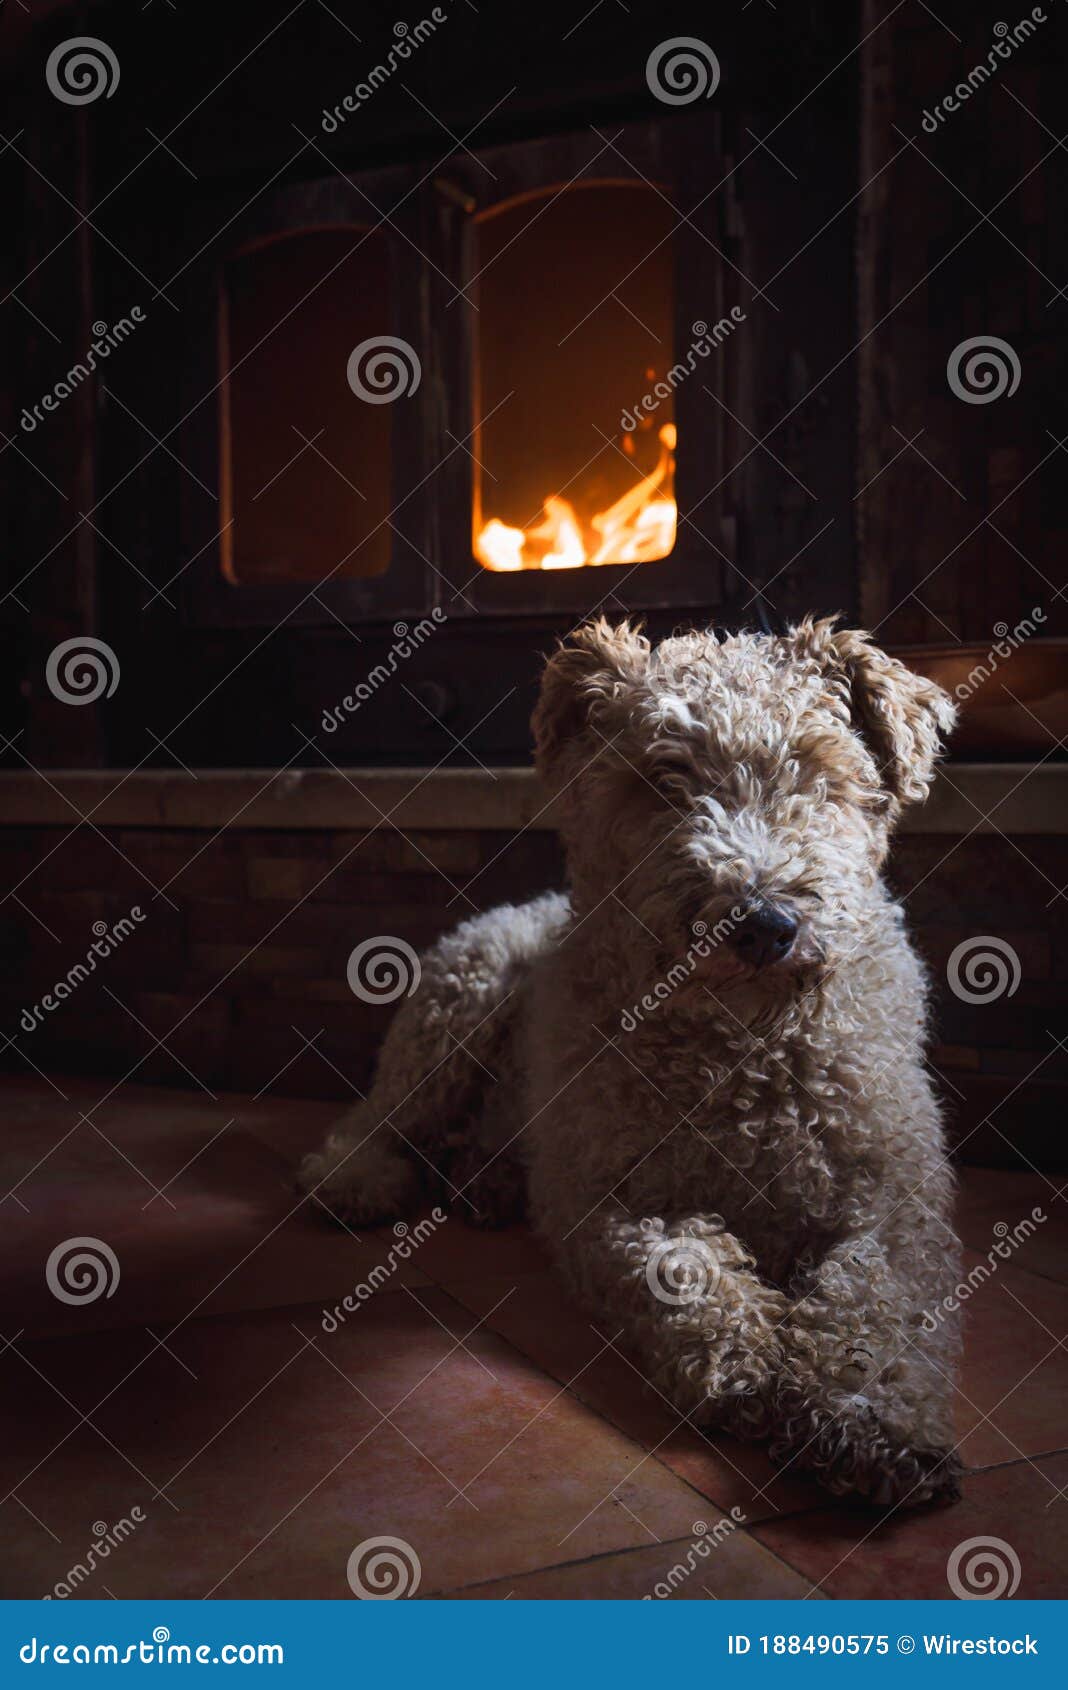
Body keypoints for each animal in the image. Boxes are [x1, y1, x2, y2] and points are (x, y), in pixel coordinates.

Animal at [299, 618, 959, 1507]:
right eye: (665, 777)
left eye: (821, 771)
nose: (763, 923)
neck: (744, 1052)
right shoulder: (612, 1196)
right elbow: (678, 1265)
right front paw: (745, 1362)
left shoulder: (894, 1202)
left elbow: (881, 1302)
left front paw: (870, 1420)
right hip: (461, 1002)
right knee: (378, 1116)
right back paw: (360, 1180)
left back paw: (484, 1180)